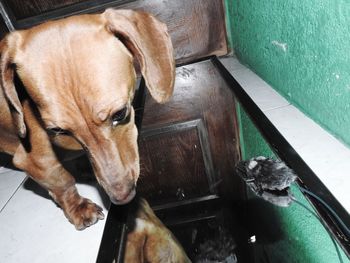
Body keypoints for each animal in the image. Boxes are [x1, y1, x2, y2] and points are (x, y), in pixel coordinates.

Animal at [0, 9, 175, 230]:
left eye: (120, 114)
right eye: (57, 130)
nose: (121, 197)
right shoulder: (33, 158)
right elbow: (62, 181)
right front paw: (78, 207)